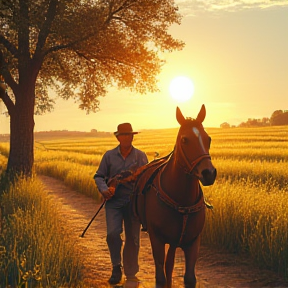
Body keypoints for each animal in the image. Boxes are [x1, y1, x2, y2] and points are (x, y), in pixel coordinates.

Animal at [133, 104, 216, 286]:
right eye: (184, 139)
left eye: (208, 139)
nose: (209, 173)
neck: (182, 201)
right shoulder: (157, 239)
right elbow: (161, 278)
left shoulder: (193, 242)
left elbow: (189, 278)